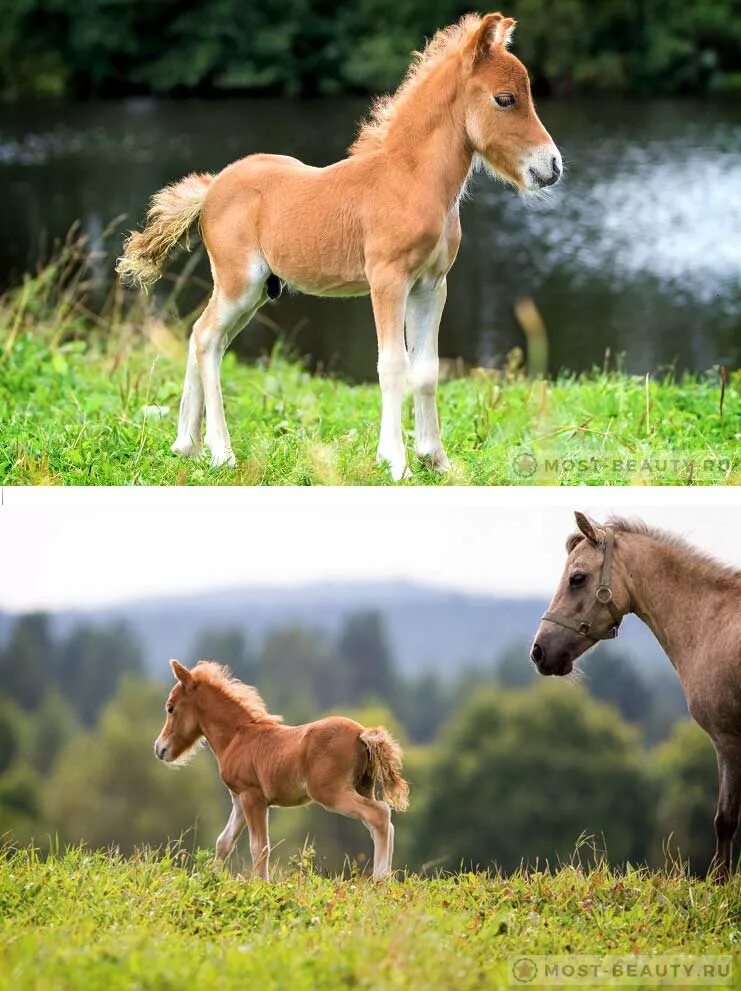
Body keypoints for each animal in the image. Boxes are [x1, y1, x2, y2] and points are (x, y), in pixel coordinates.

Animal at [118, 12, 560, 480]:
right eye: (505, 99)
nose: (551, 167)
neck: (410, 179)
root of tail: (212, 187)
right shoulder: (388, 281)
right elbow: (393, 365)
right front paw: (396, 462)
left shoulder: (431, 285)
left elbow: (426, 369)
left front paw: (435, 460)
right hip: (239, 283)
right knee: (205, 339)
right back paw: (222, 453)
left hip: (254, 293)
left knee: (205, 339)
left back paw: (187, 445)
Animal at [155, 664, 410, 880]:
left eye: (170, 708)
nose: (160, 749)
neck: (237, 736)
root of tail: (362, 734)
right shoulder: (239, 799)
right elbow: (224, 841)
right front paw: (210, 879)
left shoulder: (252, 797)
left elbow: (259, 846)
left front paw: (261, 885)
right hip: (363, 788)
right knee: (383, 822)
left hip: (330, 793)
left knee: (379, 814)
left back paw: (380, 880)